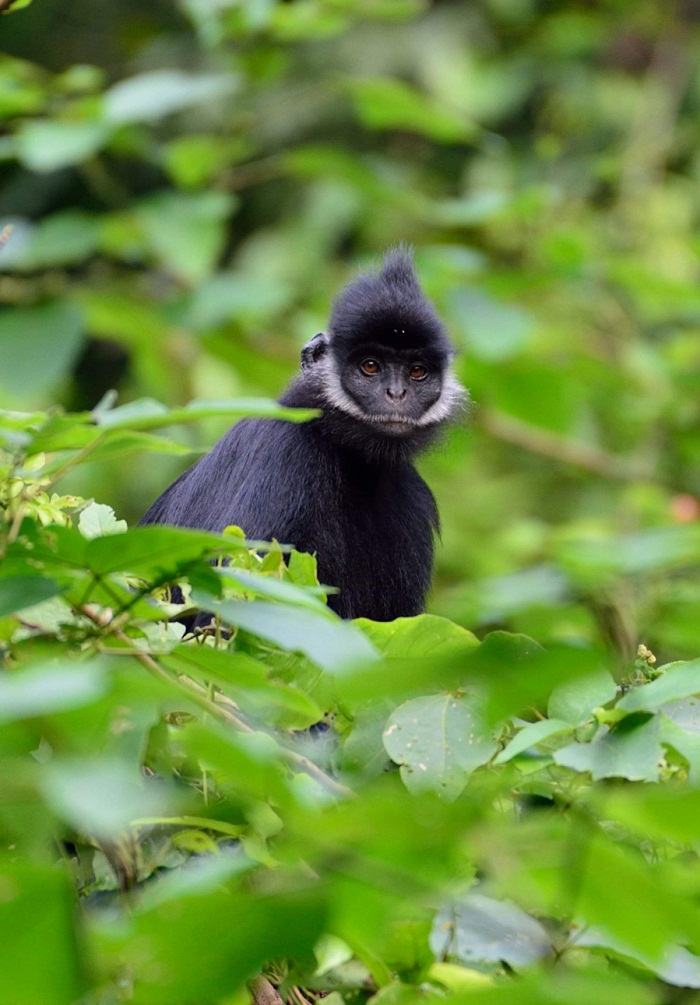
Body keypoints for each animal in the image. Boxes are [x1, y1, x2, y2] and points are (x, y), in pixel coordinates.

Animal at [140, 249, 463, 619]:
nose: (396, 393)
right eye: (370, 366)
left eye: (417, 372)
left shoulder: (412, 499)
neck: (343, 453)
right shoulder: (282, 452)